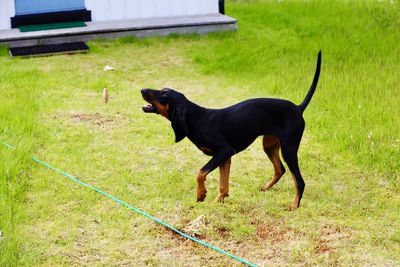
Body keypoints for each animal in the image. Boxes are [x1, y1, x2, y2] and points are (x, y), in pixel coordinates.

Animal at [141, 50, 322, 209]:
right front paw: (217, 202)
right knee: (280, 169)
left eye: (164, 93)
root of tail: (298, 108)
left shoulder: (224, 151)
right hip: (269, 145)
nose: (142, 89)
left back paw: (294, 206)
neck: (197, 119)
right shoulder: (225, 157)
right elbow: (223, 185)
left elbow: (200, 172)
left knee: (299, 181)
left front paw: (201, 194)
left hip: (288, 149)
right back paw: (266, 187)